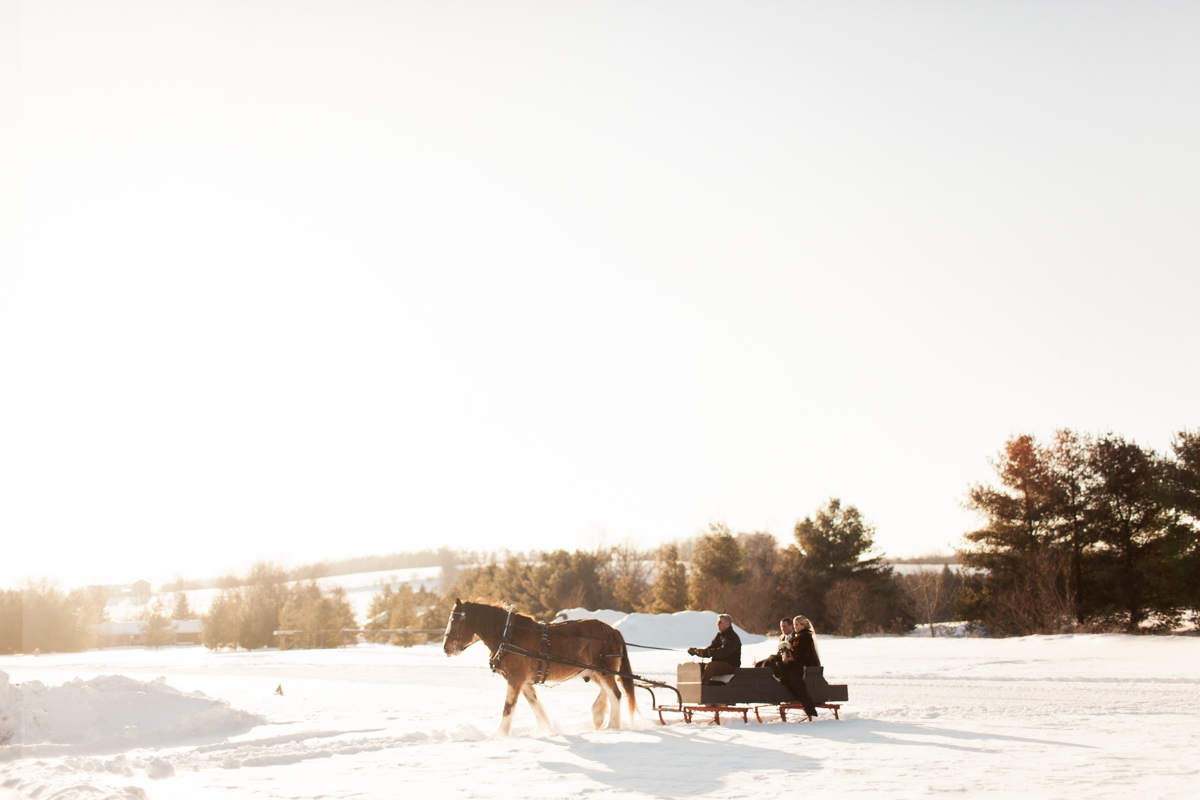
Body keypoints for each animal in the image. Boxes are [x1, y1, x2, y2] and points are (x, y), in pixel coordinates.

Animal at [444, 599, 638, 738]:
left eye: (456, 620)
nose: (446, 648)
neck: (509, 635)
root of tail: (612, 630)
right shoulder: (524, 681)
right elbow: (535, 704)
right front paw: (546, 729)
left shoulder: (515, 679)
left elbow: (508, 707)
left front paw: (499, 735)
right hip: (593, 671)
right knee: (606, 691)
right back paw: (598, 716)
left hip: (603, 671)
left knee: (615, 694)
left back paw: (612, 726)